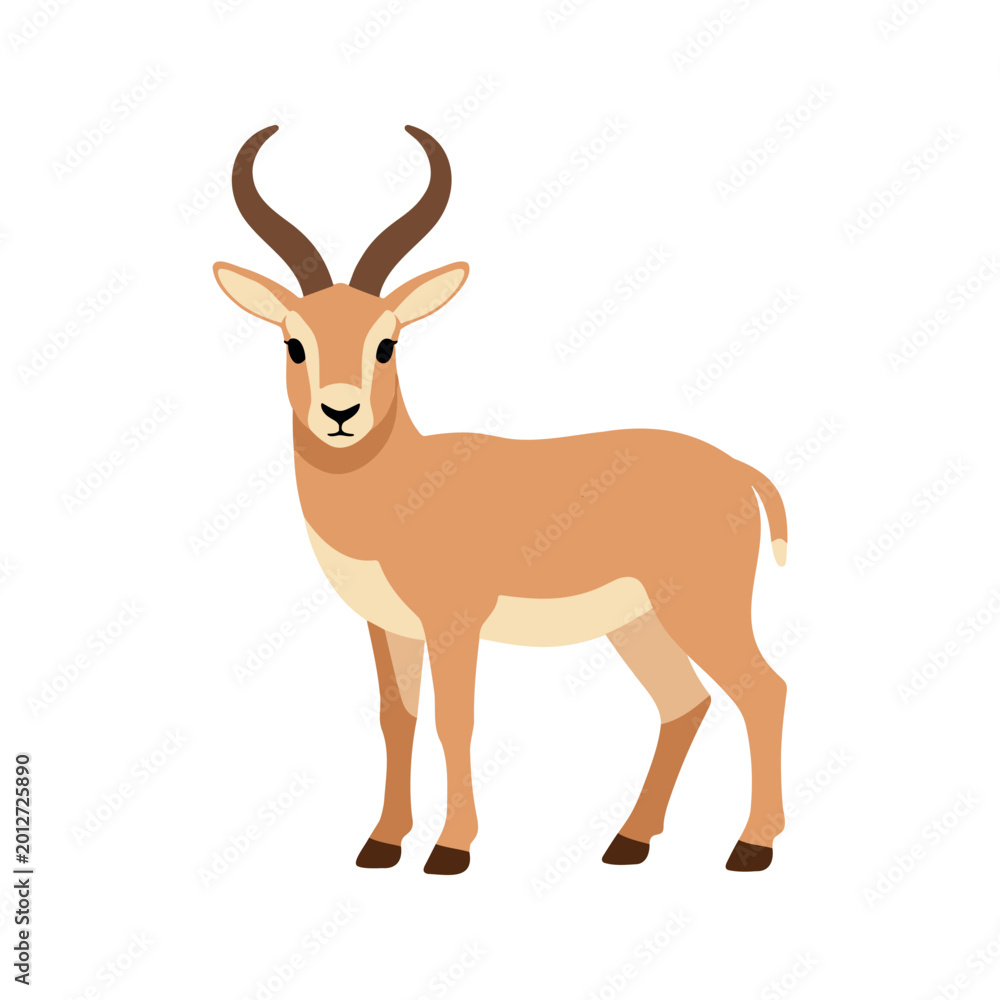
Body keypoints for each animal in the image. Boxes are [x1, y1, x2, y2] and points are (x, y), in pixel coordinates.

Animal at [213, 125, 789, 876]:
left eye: (387, 343)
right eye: (295, 343)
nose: (341, 414)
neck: (399, 490)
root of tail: (739, 470)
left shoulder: (454, 620)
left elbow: (456, 719)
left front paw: (450, 849)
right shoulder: (389, 624)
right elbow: (398, 718)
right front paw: (382, 842)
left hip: (700, 607)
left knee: (763, 690)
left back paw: (751, 847)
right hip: (638, 623)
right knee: (684, 704)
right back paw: (629, 842)